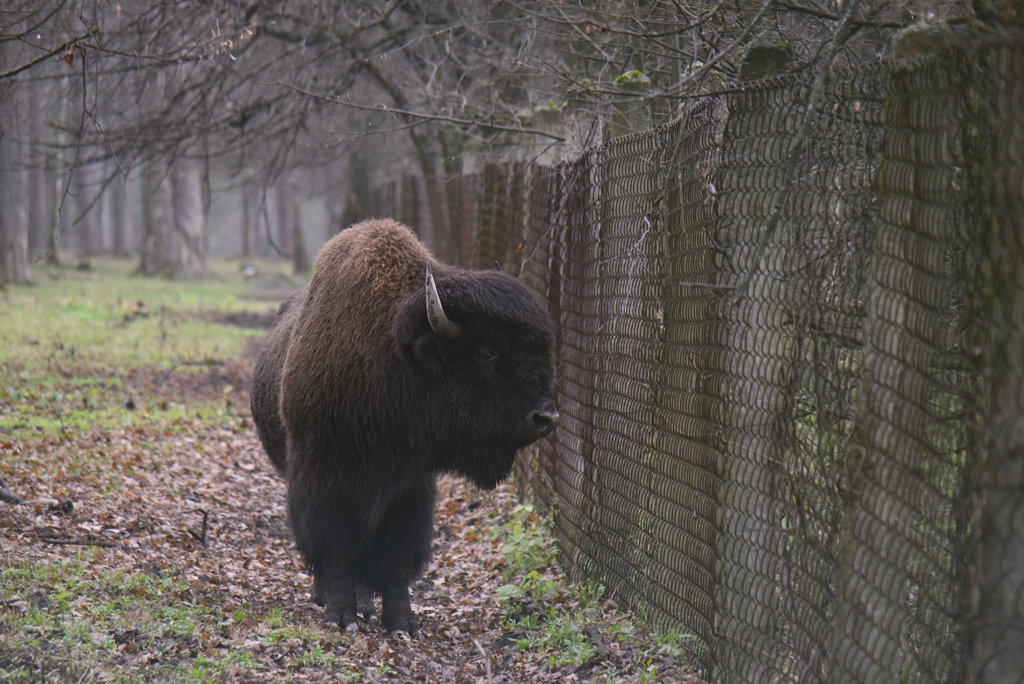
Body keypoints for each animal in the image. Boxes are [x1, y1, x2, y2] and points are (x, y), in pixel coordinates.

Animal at [250, 219, 557, 634]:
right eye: (487, 353)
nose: (545, 417)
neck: (395, 358)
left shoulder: (411, 488)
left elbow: (395, 558)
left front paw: (403, 623)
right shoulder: (325, 478)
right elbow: (335, 550)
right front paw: (341, 616)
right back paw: (329, 599)